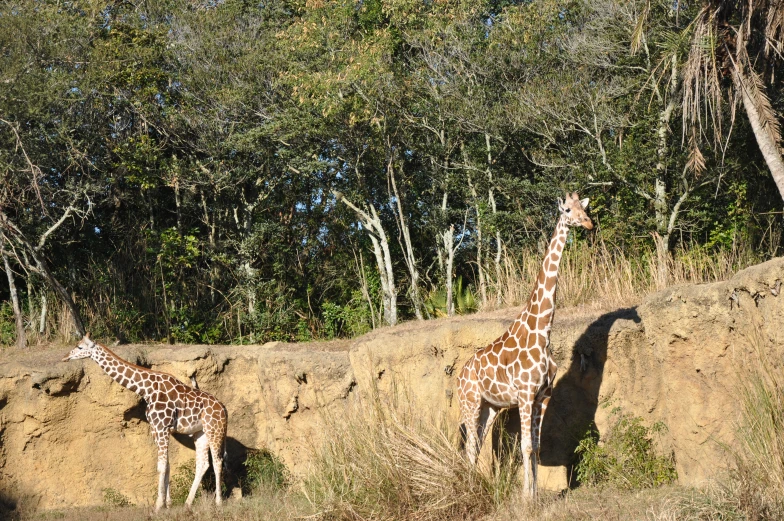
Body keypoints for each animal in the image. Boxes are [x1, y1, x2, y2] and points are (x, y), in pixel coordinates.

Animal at [62, 332, 228, 510]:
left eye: (80, 347)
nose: (65, 357)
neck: (146, 390)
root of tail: (224, 409)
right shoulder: (156, 428)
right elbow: (166, 465)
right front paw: (167, 503)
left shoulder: (162, 427)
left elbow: (161, 466)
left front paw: (158, 505)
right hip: (200, 433)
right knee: (203, 464)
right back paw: (188, 503)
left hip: (214, 429)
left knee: (217, 461)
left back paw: (219, 502)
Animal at [456, 191, 592, 496]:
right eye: (567, 210)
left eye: (583, 207)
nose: (588, 223)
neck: (543, 332)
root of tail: (458, 378)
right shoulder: (525, 394)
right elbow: (526, 447)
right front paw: (526, 498)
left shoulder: (543, 395)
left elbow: (536, 448)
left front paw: (535, 495)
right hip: (470, 403)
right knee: (469, 446)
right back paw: (471, 489)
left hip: (489, 408)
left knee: (477, 445)